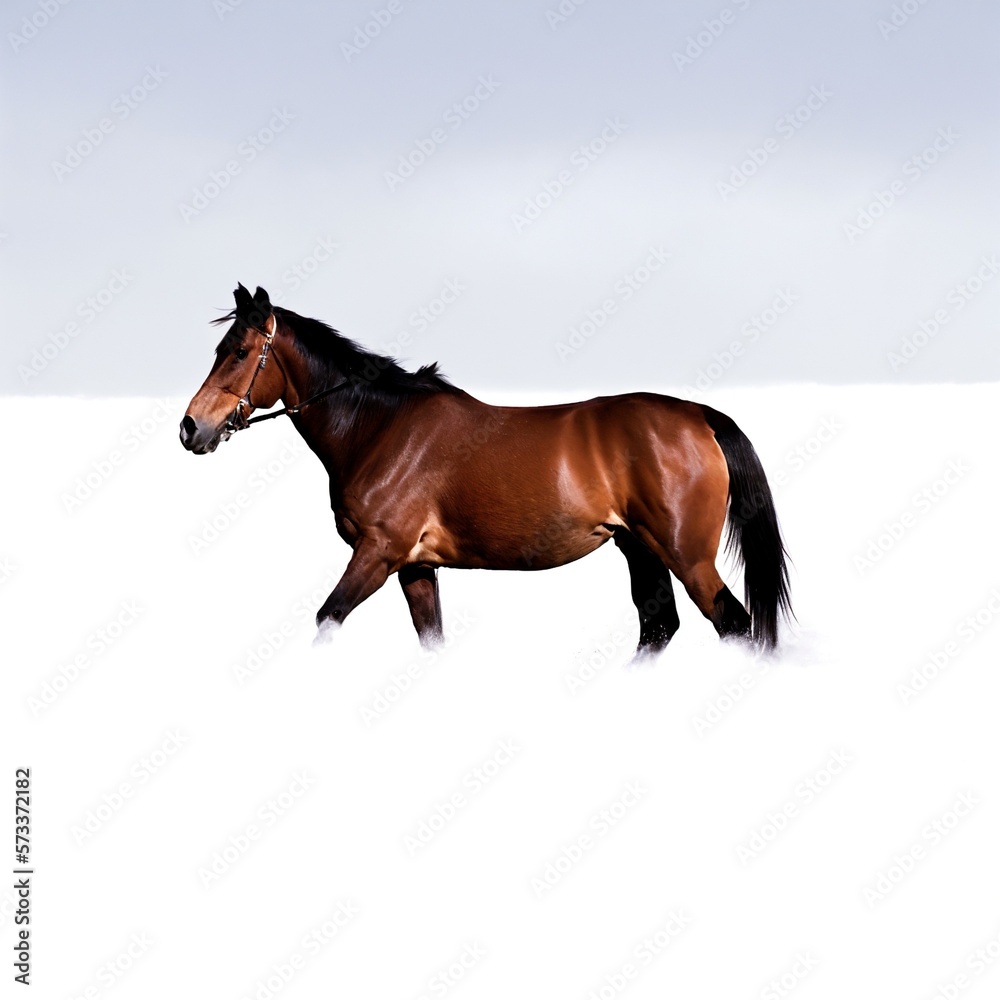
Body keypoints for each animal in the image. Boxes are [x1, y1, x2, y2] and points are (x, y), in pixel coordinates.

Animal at [180, 284, 791, 657]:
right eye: (219, 348)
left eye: (239, 352)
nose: (190, 428)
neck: (380, 428)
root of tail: (699, 416)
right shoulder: (415, 567)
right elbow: (431, 640)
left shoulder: (378, 553)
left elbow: (327, 618)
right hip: (638, 546)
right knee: (658, 628)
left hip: (686, 555)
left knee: (731, 624)